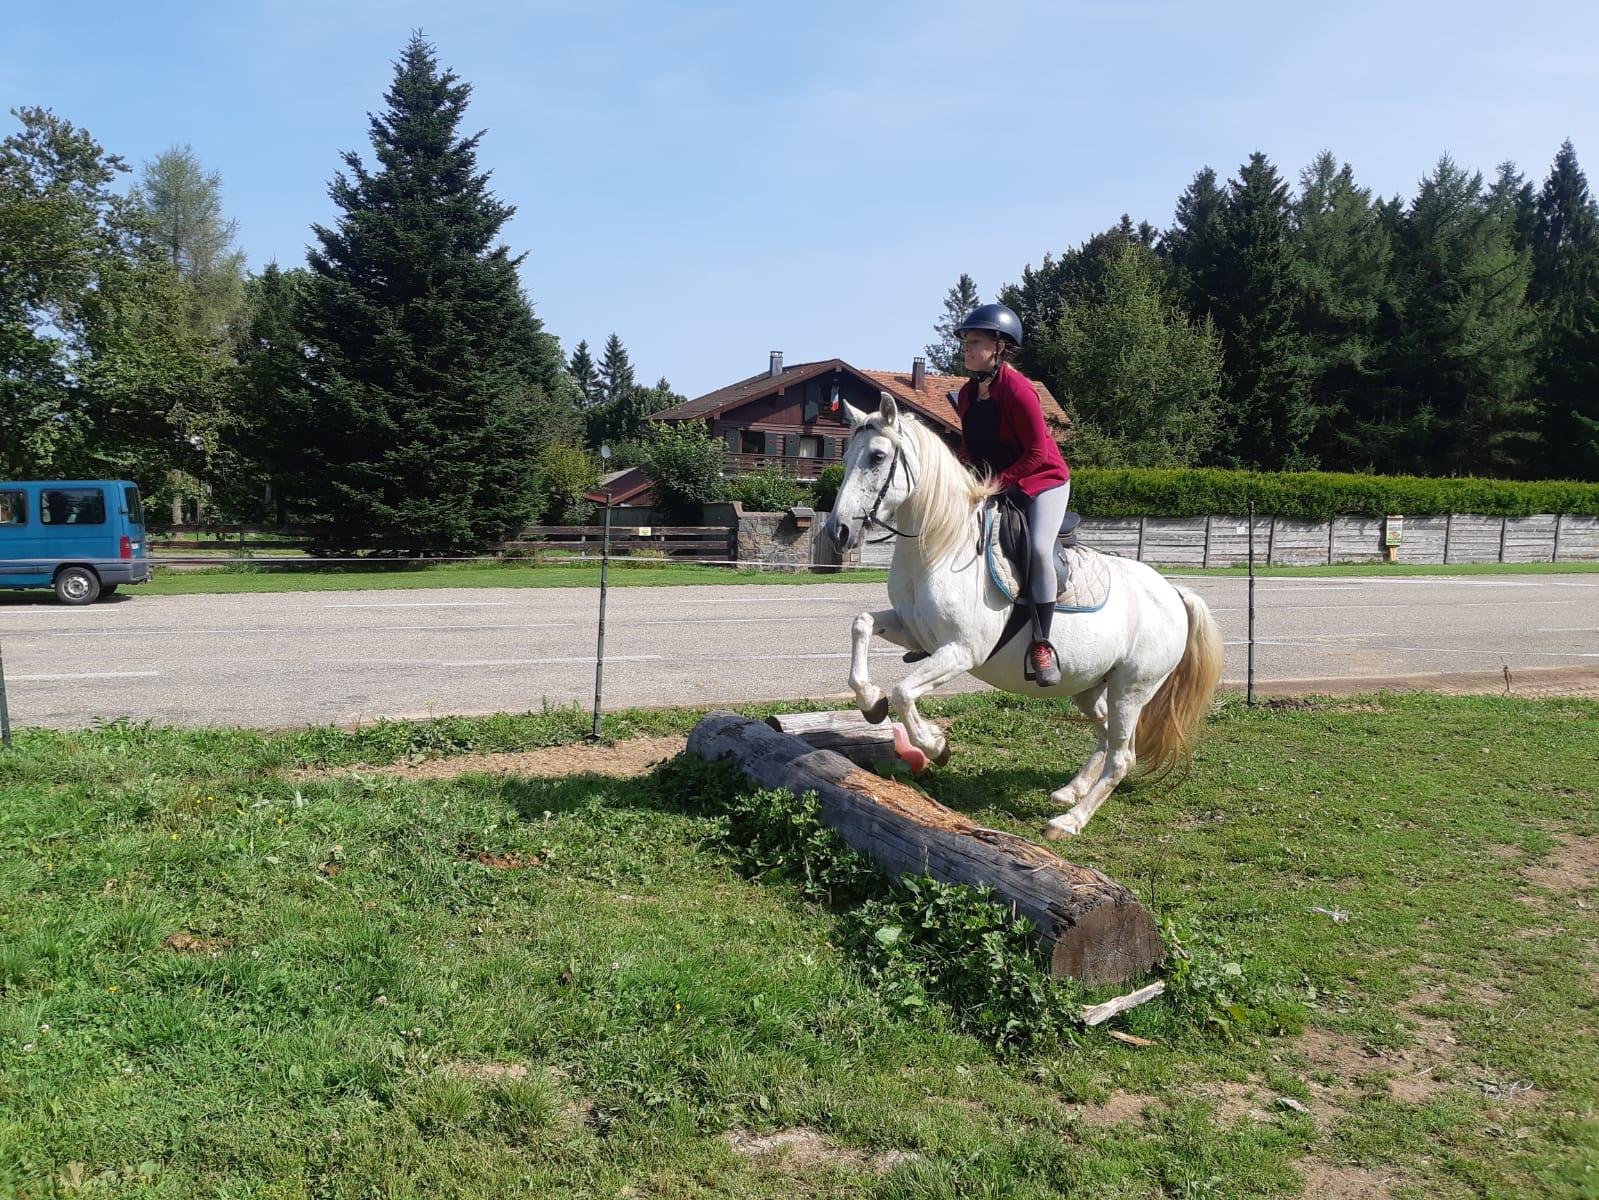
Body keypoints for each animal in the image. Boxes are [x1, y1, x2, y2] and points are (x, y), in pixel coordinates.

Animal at [822, 391, 1224, 839]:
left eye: (877, 456)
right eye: (845, 458)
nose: (838, 531)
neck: (942, 545)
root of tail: (1174, 593)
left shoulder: (960, 651)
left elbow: (904, 692)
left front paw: (935, 745)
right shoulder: (914, 632)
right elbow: (862, 624)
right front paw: (869, 701)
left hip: (1132, 689)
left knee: (1123, 756)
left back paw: (1069, 821)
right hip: (1092, 687)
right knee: (1105, 735)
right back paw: (1070, 791)